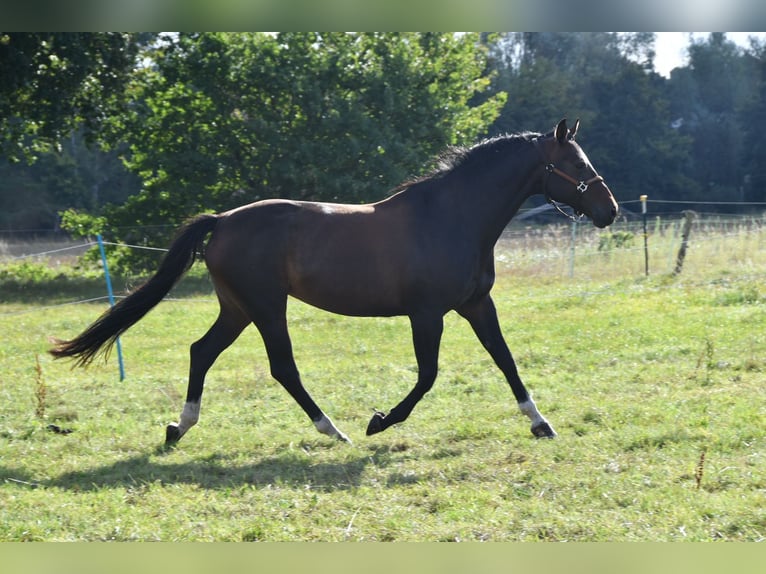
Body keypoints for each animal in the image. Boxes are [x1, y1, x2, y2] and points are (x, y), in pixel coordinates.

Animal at [51, 120, 616, 446]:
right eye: (574, 162)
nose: (608, 210)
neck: (452, 217)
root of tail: (224, 220)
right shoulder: (427, 313)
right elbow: (428, 375)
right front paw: (379, 420)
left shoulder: (477, 304)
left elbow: (505, 360)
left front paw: (541, 424)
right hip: (265, 306)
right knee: (282, 367)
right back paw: (336, 430)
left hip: (238, 308)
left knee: (201, 351)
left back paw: (178, 428)